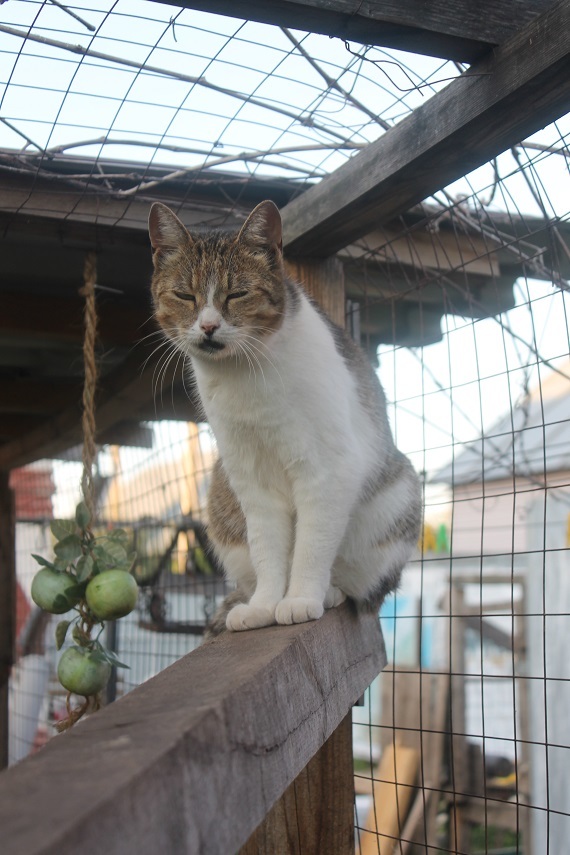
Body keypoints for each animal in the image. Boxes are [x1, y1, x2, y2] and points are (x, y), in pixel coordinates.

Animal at [148, 197, 422, 632]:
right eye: (184, 295)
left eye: (237, 294)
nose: (208, 326)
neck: (244, 376)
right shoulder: (250, 478)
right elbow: (268, 551)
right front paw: (264, 605)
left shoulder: (327, 469)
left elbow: (311, 547)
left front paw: (300, 600)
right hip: (222, 496)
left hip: (397, 500)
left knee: (360, 589)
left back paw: (329, 593)